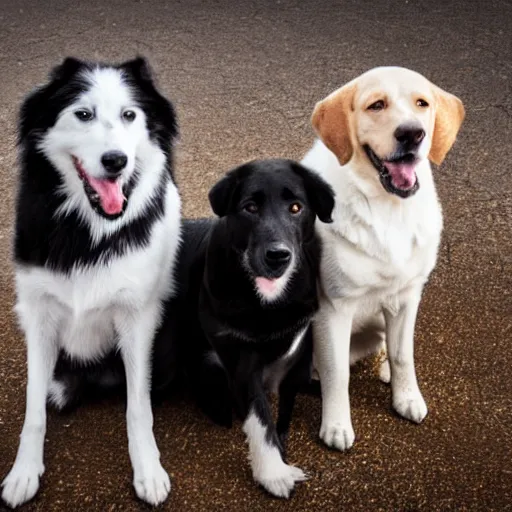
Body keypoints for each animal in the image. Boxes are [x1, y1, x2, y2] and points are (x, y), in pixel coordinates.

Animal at [1, 57, 180, 508]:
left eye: (129, 115)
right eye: (83, 114)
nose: (115, 160)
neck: (90, 231)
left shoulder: (137, 319)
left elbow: (138, 406)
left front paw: (148, 469)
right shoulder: (39, 316)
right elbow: (33, 408)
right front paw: (23, 472)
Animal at [155, 159, 336, 496]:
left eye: (296, 207)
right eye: (250, 207)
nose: (278, 256)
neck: (267, 300)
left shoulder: (298, 352)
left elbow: (284, 409)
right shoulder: (239, 358)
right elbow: (259, 416)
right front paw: (273, 472)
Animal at [302, 66, 466, 450]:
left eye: (422, 103)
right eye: (376, 105)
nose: (412, 133)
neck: (388, 209)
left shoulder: (407, 297)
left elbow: (403, 354)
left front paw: (406, 397)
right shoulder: (334, 307)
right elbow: (336, 372)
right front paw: (336, 425)